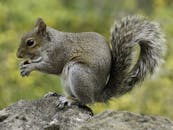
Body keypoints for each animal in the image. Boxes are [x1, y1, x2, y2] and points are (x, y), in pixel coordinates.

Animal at [16, 15, 166, 106]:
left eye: (30, 42)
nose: (18, 55)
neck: (50, 42)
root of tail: (98, 94)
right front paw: (24, 64)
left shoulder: (59, 53)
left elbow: (51, 67)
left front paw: (29, 67)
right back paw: (56, 94)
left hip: (78, 72)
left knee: (86, 101)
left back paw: (69, 100)